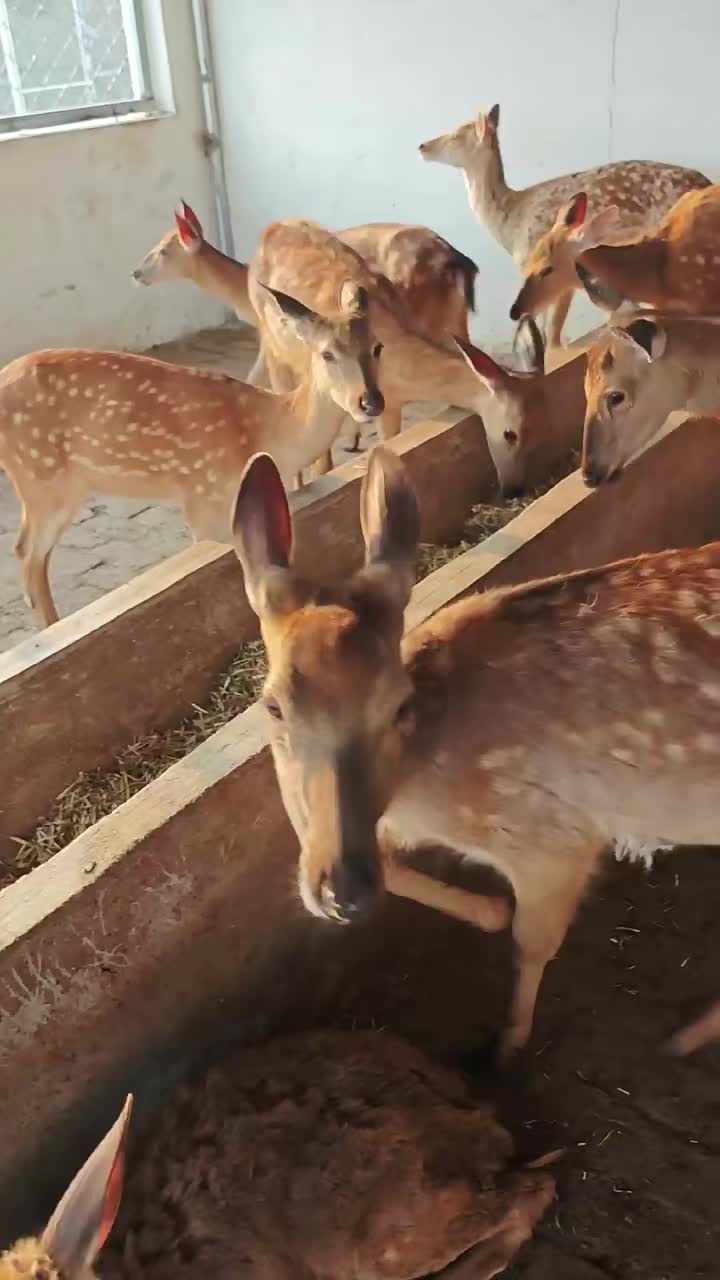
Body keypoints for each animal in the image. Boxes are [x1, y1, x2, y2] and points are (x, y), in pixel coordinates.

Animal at [0, 282, 384, 628]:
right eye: (327, 353)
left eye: (377, 346)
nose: (370, 402)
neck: (266, 430)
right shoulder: (202, 496)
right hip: (43, 478)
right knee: (27, 552)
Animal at [232, 445, 720, 1064]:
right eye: (272, 706)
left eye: (399, 705)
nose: (344, 892)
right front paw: (490, 911)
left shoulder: (554, 840)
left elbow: (531, 945)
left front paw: (503, 1048)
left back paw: (683, 1038)